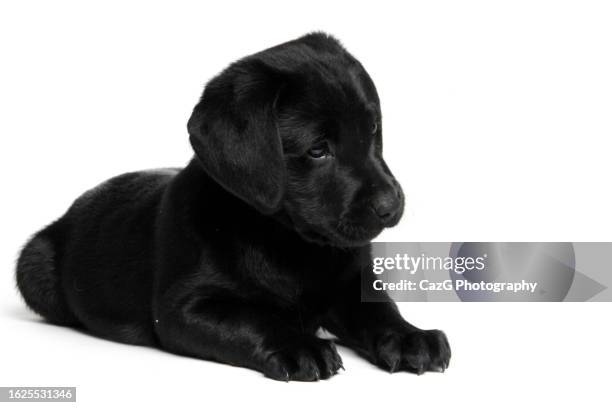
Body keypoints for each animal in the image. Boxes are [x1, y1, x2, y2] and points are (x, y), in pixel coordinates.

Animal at [15, 33, 450, 380]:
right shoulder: (185, 308)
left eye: (373, 130)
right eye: (317, 150)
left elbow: (378, 309)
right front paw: (299, 345)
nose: (391, 204)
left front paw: (411, 337)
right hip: (33, 266)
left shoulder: (350, 282)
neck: (287, 243)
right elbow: (251, 319)